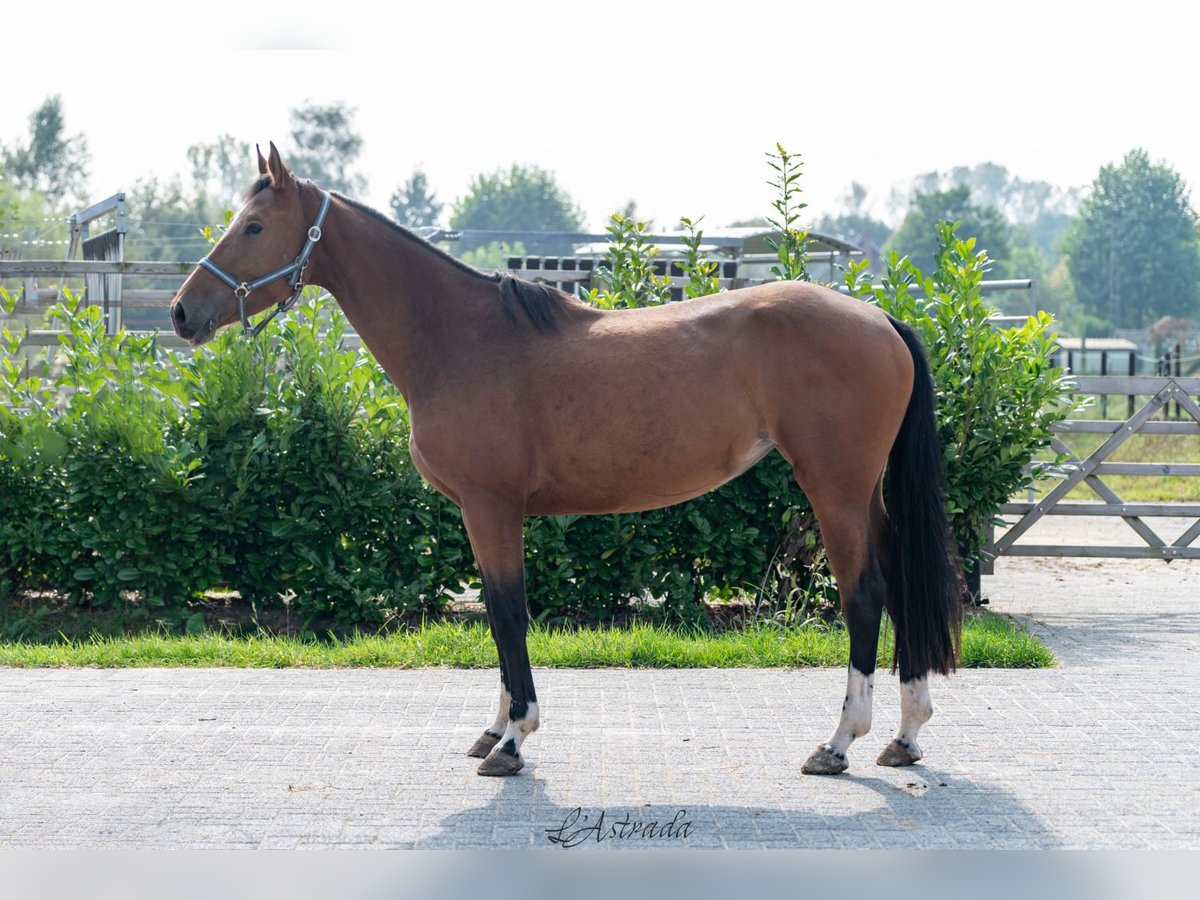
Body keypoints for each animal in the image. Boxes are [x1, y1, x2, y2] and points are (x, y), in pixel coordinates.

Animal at [169, 144, 960, 777]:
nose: (181, 313)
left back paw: (839, 742)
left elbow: (508, 613)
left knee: (864, 597)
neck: (461, 337)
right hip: (866, 494)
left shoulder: (492, 506)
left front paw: (514, 740)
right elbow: (497, 615)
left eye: (255, 227)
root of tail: (880, 318)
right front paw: (493, 729)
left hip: (834, 489)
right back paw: (906, 735)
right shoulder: (483, 513)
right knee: (901, 585)